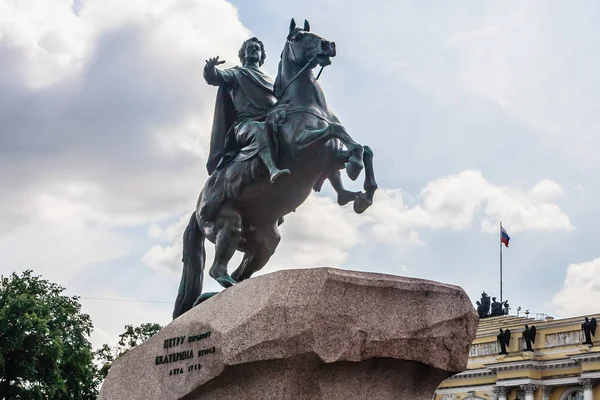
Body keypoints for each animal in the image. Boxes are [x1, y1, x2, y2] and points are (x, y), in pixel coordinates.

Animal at [172, 19, 376, 318]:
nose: (329, 45)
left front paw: (361, 192)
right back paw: (221, 288)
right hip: (228, 223)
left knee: (241, 273)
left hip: (266, 240)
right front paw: (354, 169)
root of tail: (196, 211)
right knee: (218, 269)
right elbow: (337, 130)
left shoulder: (327, 158)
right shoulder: (302, 149)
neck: (306, 104)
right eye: (298, 37)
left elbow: (362, 148)